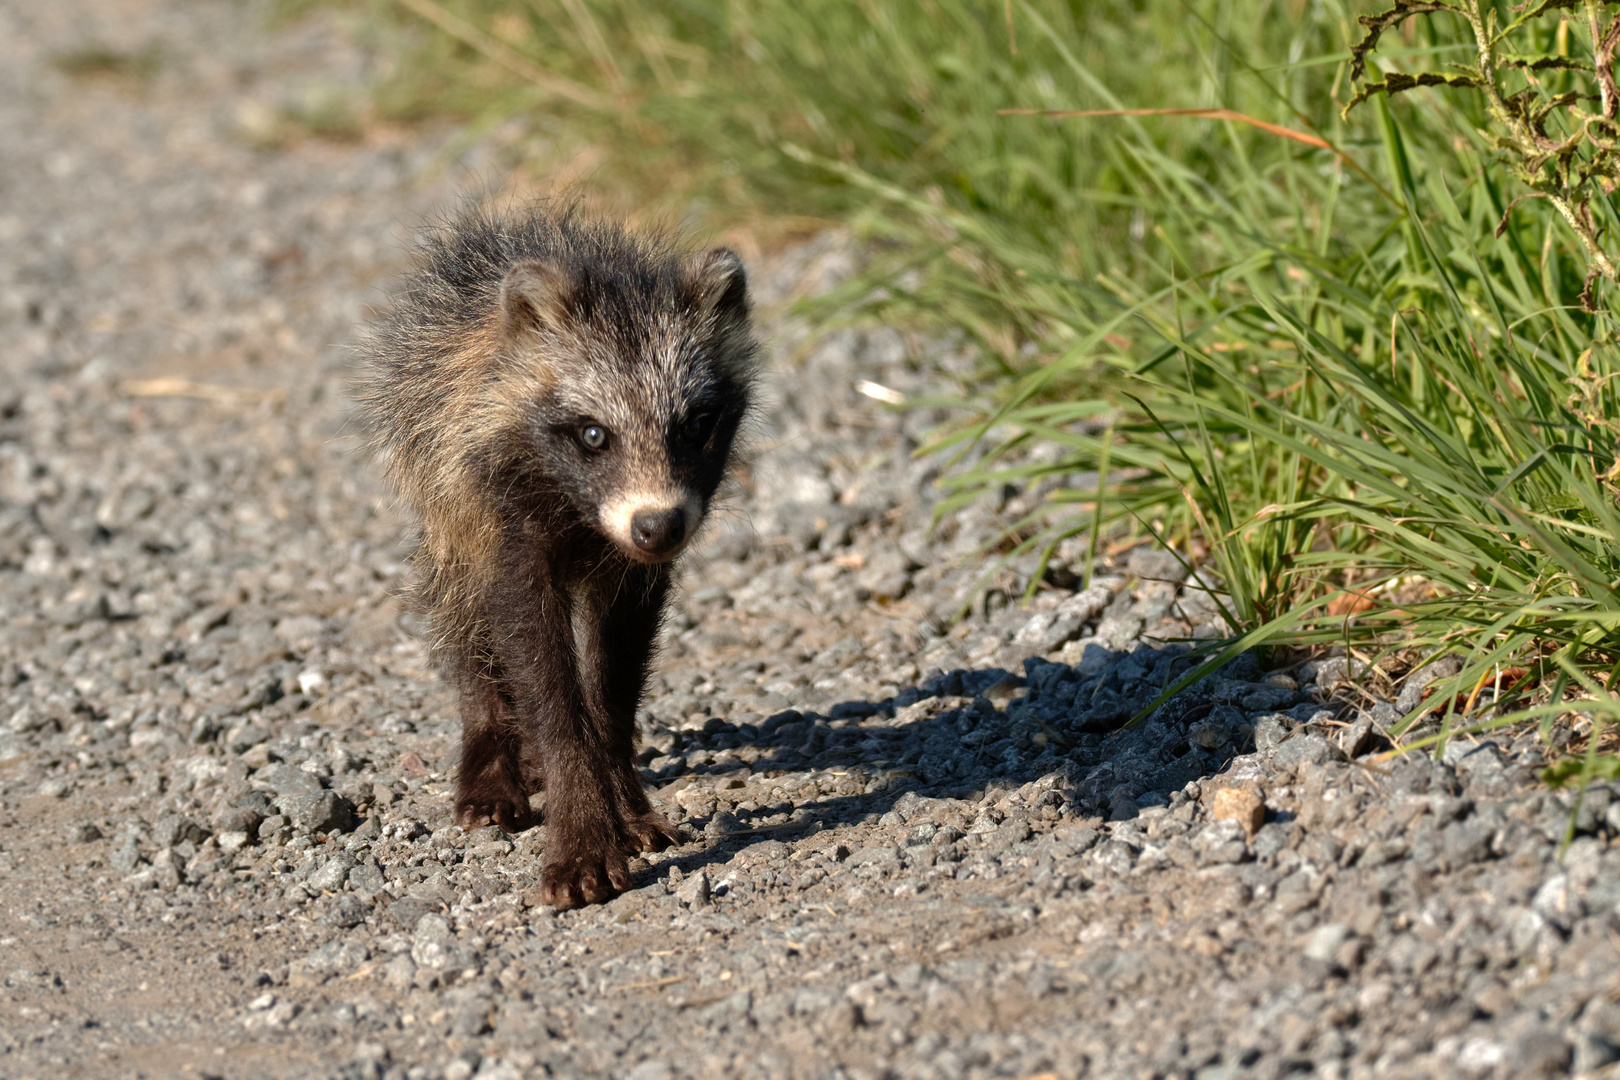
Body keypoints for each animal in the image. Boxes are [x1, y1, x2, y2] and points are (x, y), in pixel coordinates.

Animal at [358, 202, 754, 906]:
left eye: (695, 425)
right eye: (593, 434)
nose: (657, 526)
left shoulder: (632, 570)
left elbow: (614, 678)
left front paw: (620, 794)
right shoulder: (500, 512)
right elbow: (538, 669)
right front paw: (580, 814)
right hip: (440, 502)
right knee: (462, 615)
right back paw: (491, 742)